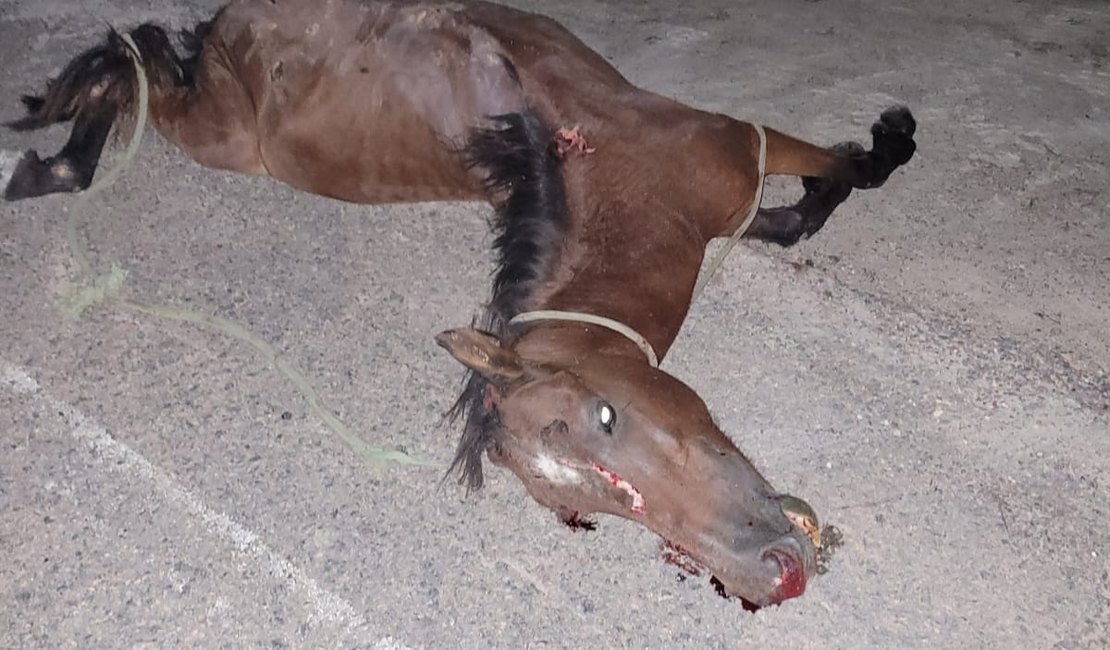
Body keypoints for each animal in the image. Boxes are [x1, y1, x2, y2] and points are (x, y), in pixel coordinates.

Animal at [4, 1, 914, 607]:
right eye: (575, 512)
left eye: (608, 415)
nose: (773, 573)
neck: (627, 188)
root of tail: (242, 20)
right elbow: (844, 179)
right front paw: (876, 147)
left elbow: (832, 188)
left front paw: (870, 151)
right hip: (221, 129)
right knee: (132, 63)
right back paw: (56, 161)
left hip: (221, 124)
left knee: (139, 58)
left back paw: (50, 160)